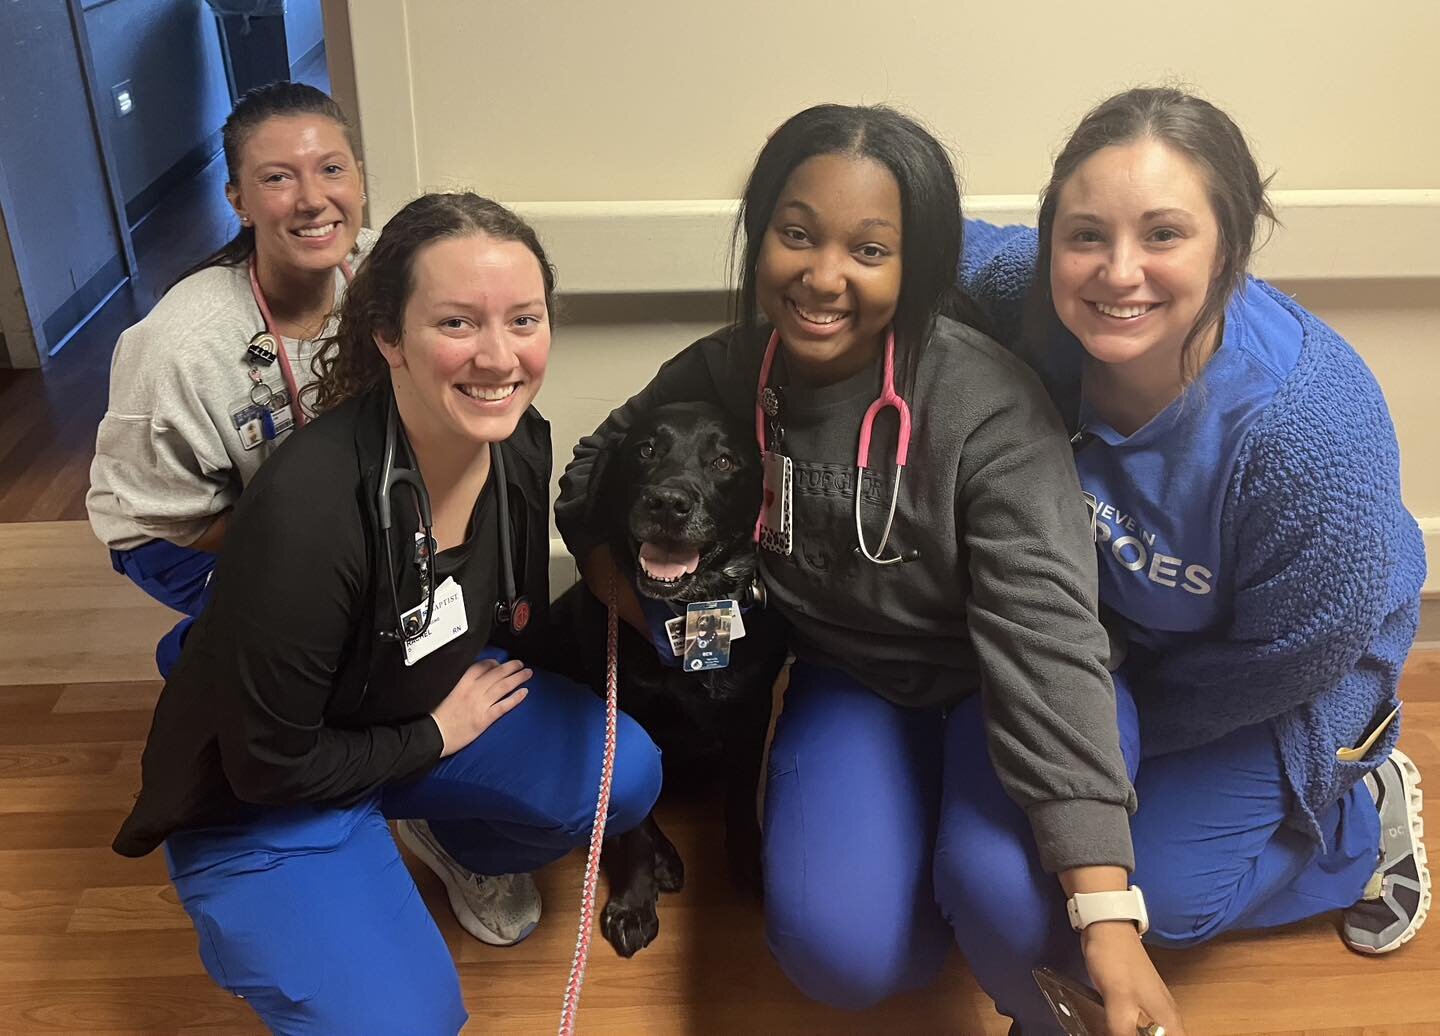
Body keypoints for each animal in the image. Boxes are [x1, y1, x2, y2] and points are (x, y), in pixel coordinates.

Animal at [547, 400, 789, 956]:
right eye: (645, 450)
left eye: (724, 461)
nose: (667, 503)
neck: (690, 611)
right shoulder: (625, 714)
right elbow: (633, 823)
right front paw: (635, 902)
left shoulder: (751, 712)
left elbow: (740, 797)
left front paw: (750, 863)